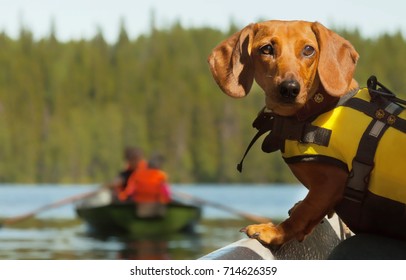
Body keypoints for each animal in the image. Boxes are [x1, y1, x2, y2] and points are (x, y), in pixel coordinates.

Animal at [209, 20, 406, 247]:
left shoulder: (331, 182)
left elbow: (303, 212)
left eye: (309, 50)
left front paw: (274, 231)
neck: (317, 109)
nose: (289, 88)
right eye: (266, 49)